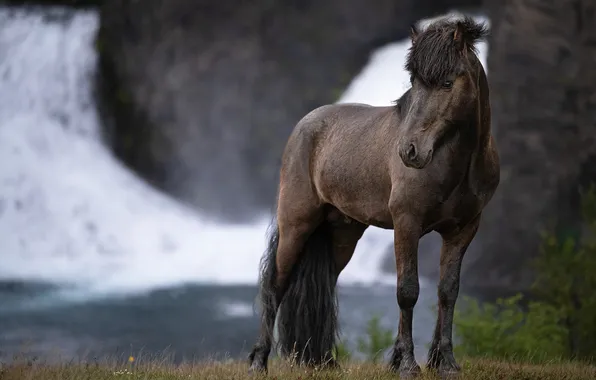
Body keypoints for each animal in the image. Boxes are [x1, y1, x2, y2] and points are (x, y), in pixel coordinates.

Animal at [246, 14, 498, 378]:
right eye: (415, 81)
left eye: (448, 83)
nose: (409, 151)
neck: (456, 164)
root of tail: (305, 125)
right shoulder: (407, 224)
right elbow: (407, 291)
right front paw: (406, 364)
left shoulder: (463, 229)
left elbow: (448, 292)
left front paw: (446, 363)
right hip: (296, 223)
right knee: (276, 284)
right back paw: (258, 361)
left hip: (342, 233)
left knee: (326, 283)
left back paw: (324, 360)